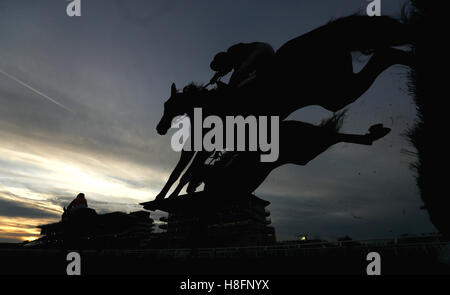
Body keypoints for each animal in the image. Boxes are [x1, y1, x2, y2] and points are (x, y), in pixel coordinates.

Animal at [154, 13, 412, 199]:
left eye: (169, 104)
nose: (160, 128)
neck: (210, 105)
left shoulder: (206, 143)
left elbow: (184, 172)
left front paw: (164, 198)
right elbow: (187, 172)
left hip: (335, 92)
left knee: (386, 55)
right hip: (335, 94)